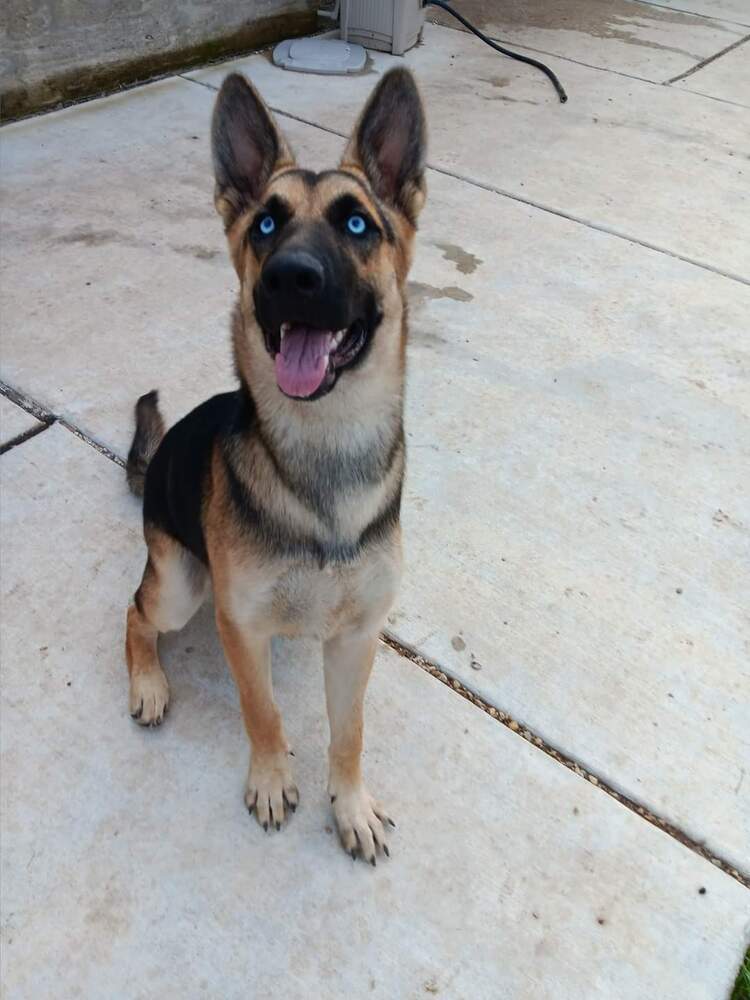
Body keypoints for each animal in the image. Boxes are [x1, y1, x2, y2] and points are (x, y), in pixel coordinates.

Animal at [125, 66, 426, 864]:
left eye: (358, 225)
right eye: (265, 225)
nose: (291, 276)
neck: (323, 453)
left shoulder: (356, 638)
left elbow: (349, 734)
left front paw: (350, 805)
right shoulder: (242, 626)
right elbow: (261, 712)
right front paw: (269, 779)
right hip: (180, 588)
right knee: (135, 612)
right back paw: (147, 682)